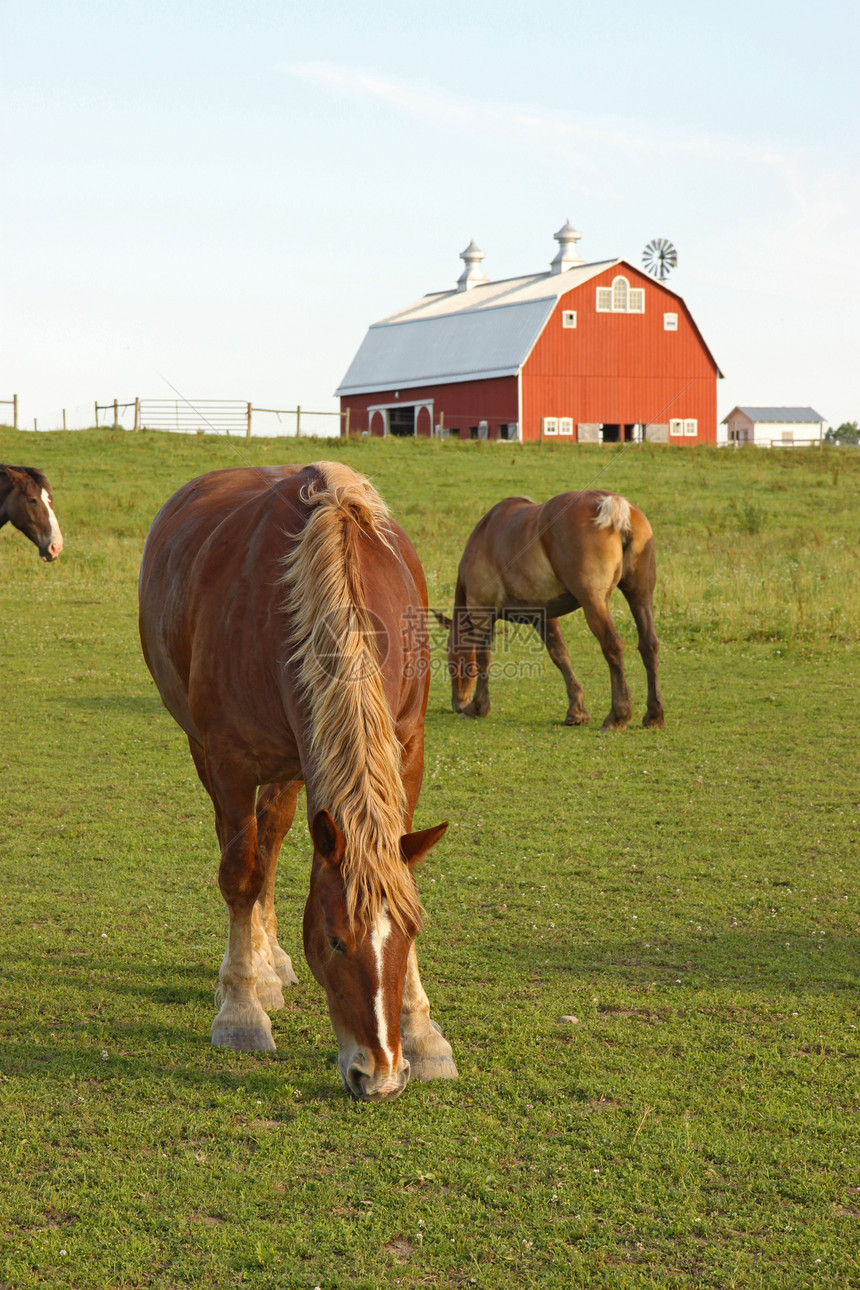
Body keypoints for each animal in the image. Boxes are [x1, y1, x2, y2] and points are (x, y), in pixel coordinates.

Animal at [137, 461, 456, 1099]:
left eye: (411, 932)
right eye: (334, 939)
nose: (380, 1076)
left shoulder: (407, 749)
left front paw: (423, 1033)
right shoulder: (230, 762)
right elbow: (239, 876)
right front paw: (240, 1012)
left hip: (294, 767)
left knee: (275, 838)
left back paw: (272, 963)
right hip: (215, 756)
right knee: (249, 854)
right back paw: (256, 974)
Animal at [438, 487, 665, 732]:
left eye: (451, 657)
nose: (457, 704)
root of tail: (613, 504)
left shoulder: (481, 612)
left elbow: (483, 658)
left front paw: (478, 707)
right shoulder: (544, 615)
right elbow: (560, 655)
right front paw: (576, 710)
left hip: (594, 602)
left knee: (612, 645)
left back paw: (617, 715)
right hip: (640, 596)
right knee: (649, 644)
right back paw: (654, 714)